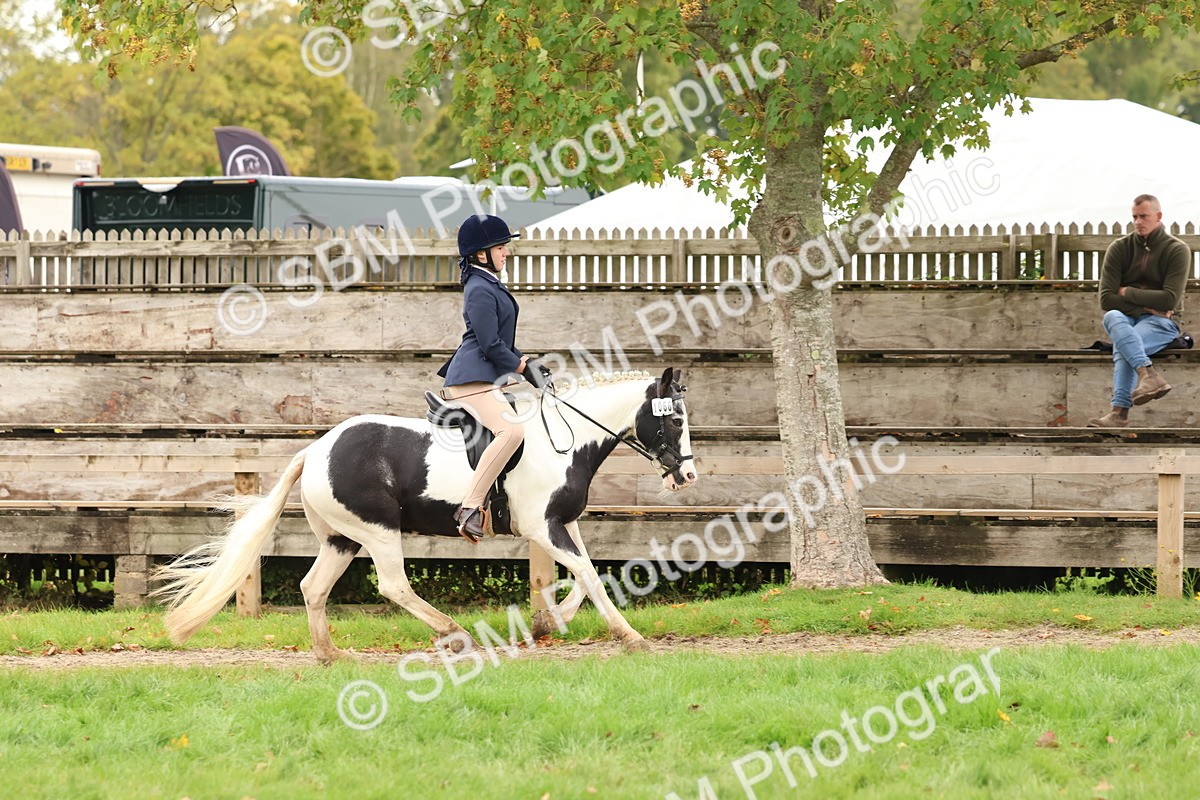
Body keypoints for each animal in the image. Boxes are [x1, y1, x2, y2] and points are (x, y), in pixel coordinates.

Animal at [156, 367, 698, 662]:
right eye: (673, 419)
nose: (687, 476)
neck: (564, 439)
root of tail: (314, 450)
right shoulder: (542, 527)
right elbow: (586, 572)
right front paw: (631, 639)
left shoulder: (562, 524)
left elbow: (587, 574)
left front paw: (549, 622)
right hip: (377, 531)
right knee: (394, 585)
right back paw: (454, 636)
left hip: (343, 538)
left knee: (314, 587)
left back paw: (330, 654)